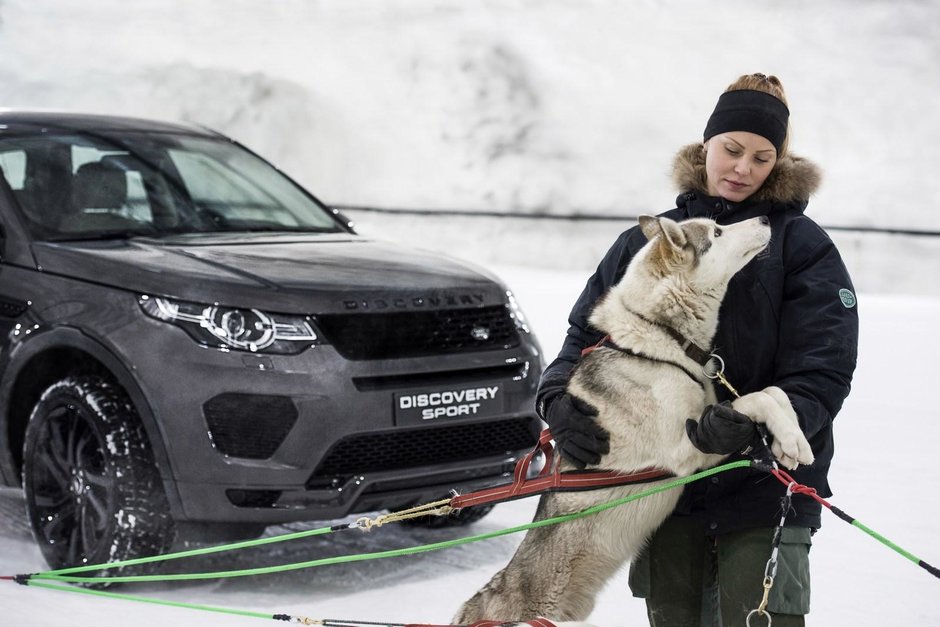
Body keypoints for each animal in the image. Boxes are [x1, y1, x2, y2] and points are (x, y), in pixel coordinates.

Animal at [456, 215, 816, 624]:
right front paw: (789, 441)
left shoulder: (714, 408)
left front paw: (792, 440)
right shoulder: (687, 448)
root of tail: (474, 604)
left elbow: (773, 394)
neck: (664, 338)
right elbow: (755, 400)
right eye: (717, 232)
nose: (765, 218)